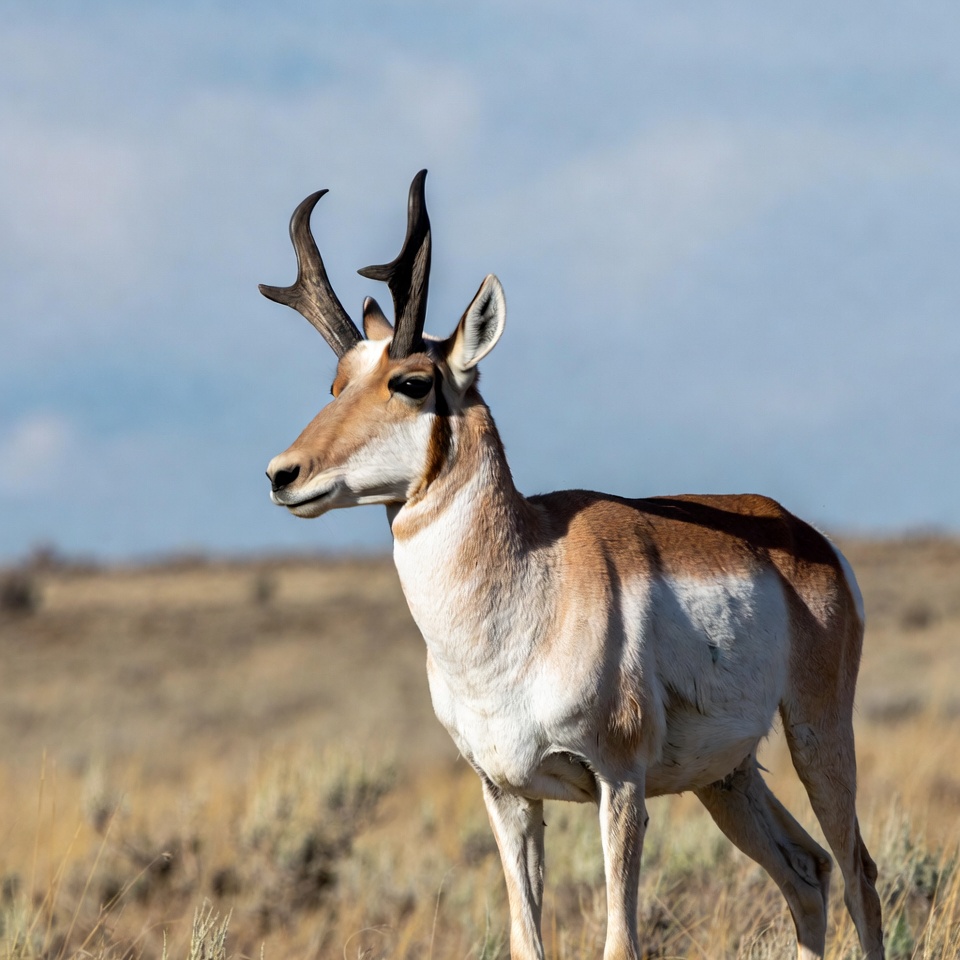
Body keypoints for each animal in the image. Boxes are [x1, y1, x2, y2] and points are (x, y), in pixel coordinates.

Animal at [261, 171, 885, 960]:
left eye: (411, 382)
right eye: (337, 383)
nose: (283, 474)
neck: (531, 579)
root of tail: (803, 536)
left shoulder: (618, 783)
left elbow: (620, 942)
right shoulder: (507, 793)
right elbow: (526, 939)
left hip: (817, 735)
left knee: (858, 871)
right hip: (728, 777)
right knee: (807, 871)